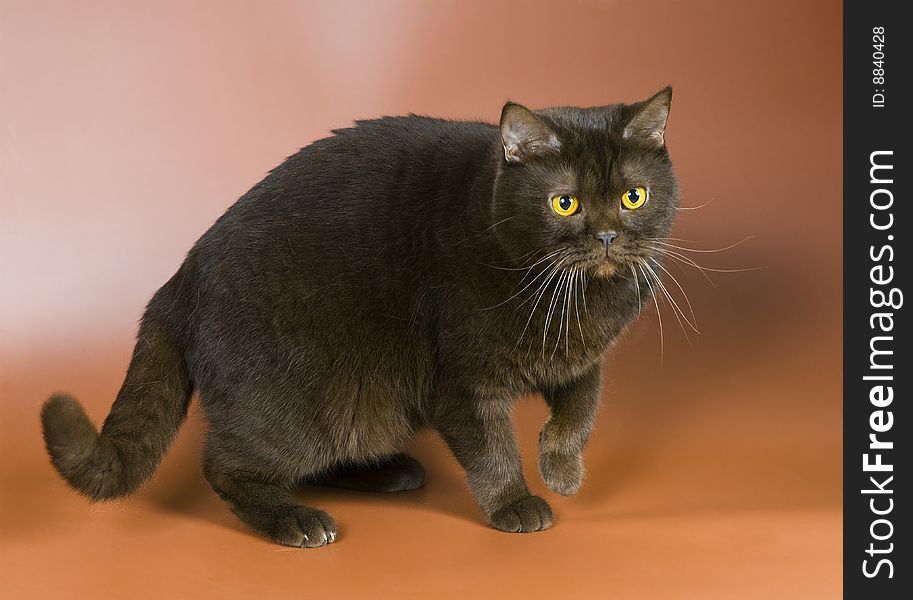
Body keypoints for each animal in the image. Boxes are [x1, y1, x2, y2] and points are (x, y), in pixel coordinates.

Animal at [41, 85, 676, 548]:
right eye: (564, 203)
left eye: (633, 197)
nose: (607, 236)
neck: (579, 300)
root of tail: (179, 280)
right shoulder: (461, 380)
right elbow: (491, 447)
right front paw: (514, 504)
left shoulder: (584, 357)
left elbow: (582, 411)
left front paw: (563, 470)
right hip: (303, 398)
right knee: (228, 466)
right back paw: (297, 521)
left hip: (367, 408)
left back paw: (389, 472)